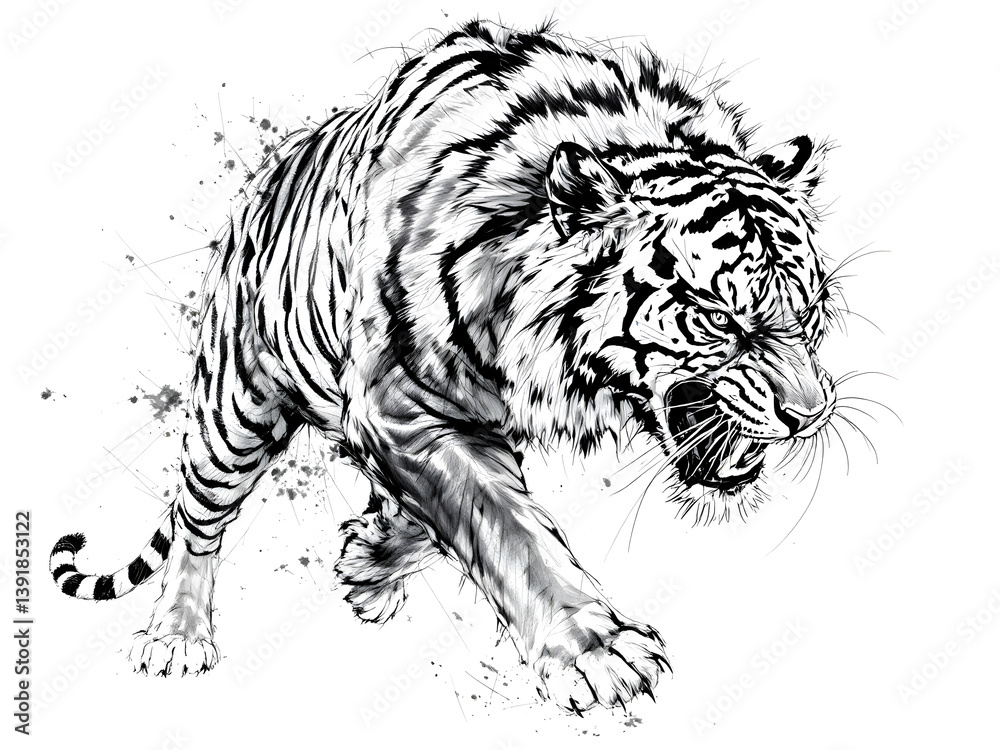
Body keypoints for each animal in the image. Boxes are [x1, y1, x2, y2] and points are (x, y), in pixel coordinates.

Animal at [50, 19, 843, 713]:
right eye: (721, 318)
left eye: (811, 312)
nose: (810, 416)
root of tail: (260, 187)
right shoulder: (402, 406)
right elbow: (508, 530)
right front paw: (599, 654)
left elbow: (455, 512)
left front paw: (369, 560)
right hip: (235, 409)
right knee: (196, 519)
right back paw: (176, 636)